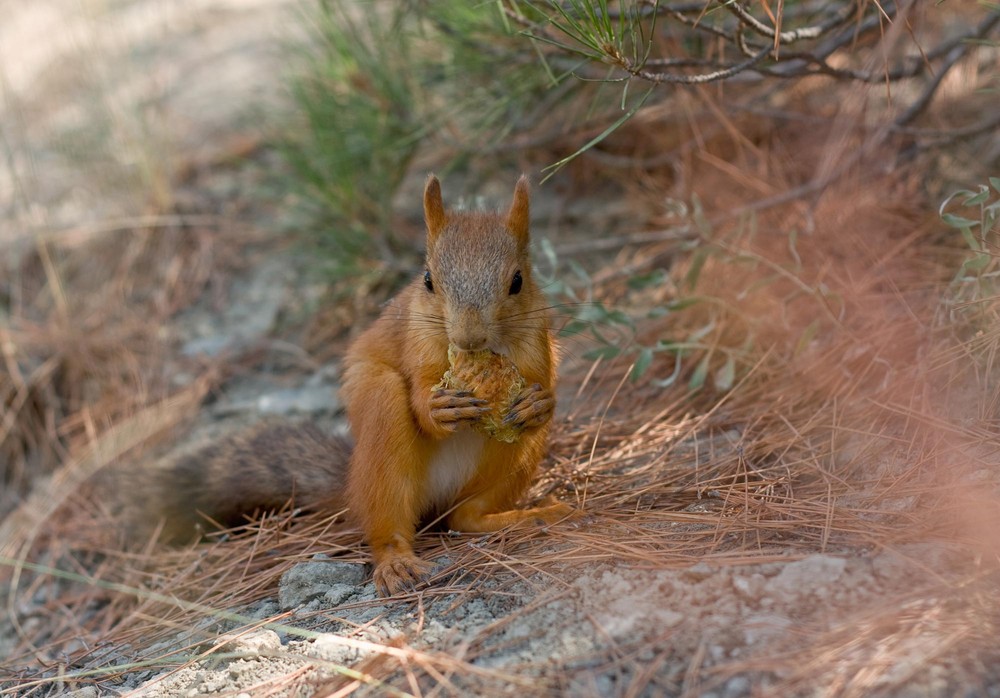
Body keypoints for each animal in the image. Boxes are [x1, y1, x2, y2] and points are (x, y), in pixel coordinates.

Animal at [143, 174, 580, 592]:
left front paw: (537, 404)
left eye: (517, 281)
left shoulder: (536, 342)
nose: (468, 339)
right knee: (389, 517)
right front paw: (438, 408)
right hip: (381, 424)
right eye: (428, 280)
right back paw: (395, 561)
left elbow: (541, 385)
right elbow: (421, 398)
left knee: (466, 516)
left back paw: (532, 515)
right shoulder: (415, 342)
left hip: (512, 463)